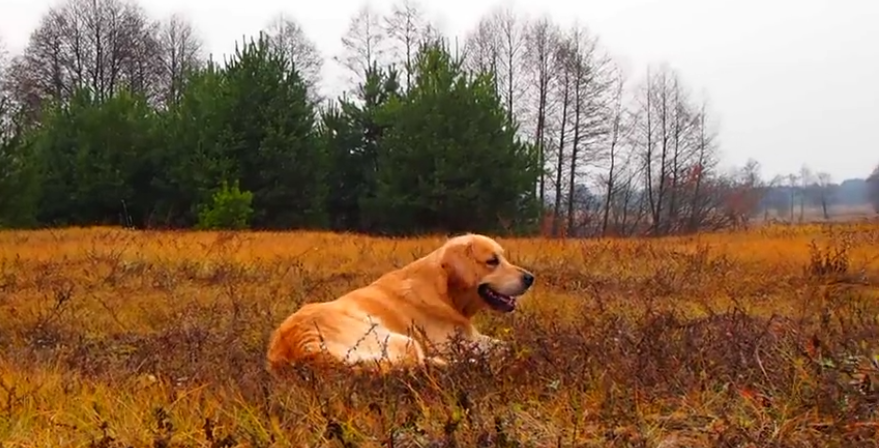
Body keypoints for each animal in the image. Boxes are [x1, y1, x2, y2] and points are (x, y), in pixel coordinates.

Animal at [264, 233, 532, 376]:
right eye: (492, 261)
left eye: (502, 257)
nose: (530, 278)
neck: (442, 290)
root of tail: (300, 346)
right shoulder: (450, 344)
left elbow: (505, 344)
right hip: (402, 340)